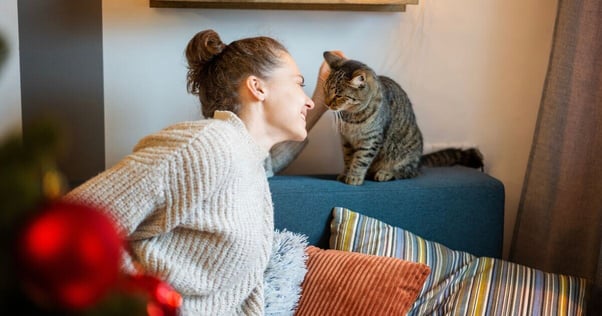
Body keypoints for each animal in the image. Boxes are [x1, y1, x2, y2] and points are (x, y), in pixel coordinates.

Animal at [322, 51, 480, 185]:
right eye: (325, 90)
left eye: (338, 96)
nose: (326, 103)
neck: (351, 117)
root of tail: (419, 161)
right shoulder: (346, 140)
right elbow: (348, 159)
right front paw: (345, 173)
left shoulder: (371, 140)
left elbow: (361, 160)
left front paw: (354, 176)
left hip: (405, 155)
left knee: (408, 172)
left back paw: (386, 173)